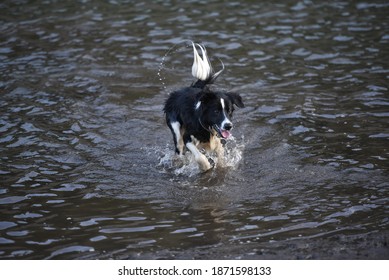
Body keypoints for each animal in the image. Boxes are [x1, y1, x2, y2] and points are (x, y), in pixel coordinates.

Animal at [163, 42, 242, 172]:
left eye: (229, 111)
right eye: (216, 111)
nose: (228, 126)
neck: (207, 127)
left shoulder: (220, 140)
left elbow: (220, 157)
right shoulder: (187, 136)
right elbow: (199, 156)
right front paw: (206, 166)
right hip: (176, 128)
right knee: (179, 147)